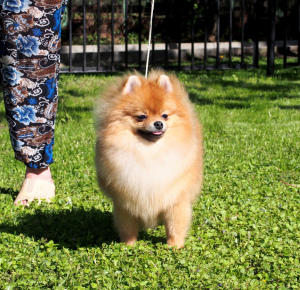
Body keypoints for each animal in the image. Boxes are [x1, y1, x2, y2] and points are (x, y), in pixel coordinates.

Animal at [95, 69, 204, 247]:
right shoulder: (125, 202)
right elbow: (127, 227)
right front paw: (128, 245)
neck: (149, 153)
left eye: (165, 115)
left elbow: (175, 225)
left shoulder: (176, 199)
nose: (159, 123)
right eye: (141, 116)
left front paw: (174, 246)